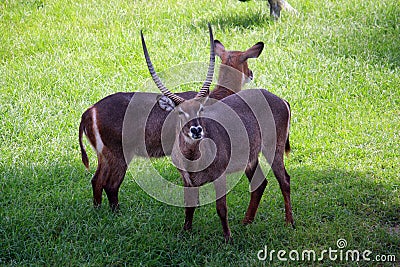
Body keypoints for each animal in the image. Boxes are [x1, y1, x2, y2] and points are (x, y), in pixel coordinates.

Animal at [79, 26, 264, 213]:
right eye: (246, 62)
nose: (251, 74)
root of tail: (89, 111)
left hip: (104, 156)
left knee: (96, 180)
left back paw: (98, 210)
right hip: (119, 155)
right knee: (111, 185)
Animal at [141, 28, 294, 243]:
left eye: (201, 109)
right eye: (180, 112)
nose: (196, 130)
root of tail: (280, 99)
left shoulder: (220, 176)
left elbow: (221, 208)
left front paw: (228, 238)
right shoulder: (186, 180)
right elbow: (189, 206)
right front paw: (185, 232)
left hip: (273, 149)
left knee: (284, 180)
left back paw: (289, 223)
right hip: (251, 156)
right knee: (260, 183)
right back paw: (246, 222)